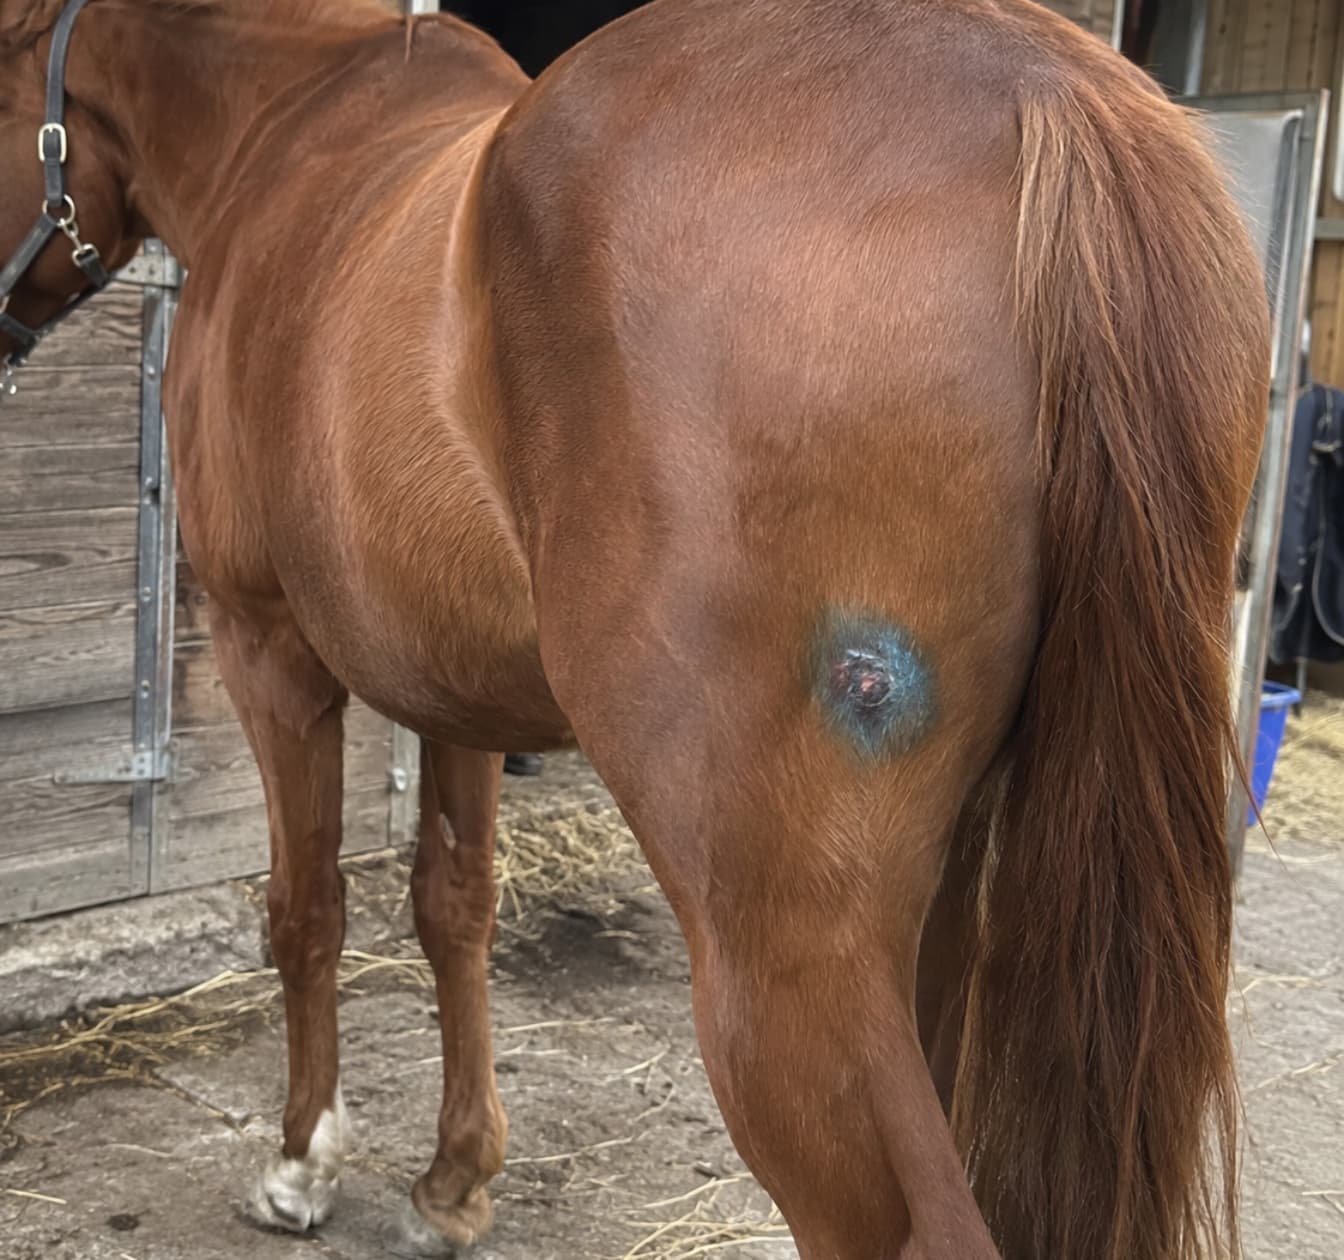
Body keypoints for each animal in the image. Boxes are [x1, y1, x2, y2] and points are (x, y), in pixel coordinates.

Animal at [0, 0, 1270, 1256]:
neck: (281, 135)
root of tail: (1043, 93)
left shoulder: (270, 653)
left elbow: (306, 910)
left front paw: (303, 1163)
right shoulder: (455, 690)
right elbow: (455, 907)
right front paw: (455, 1179)